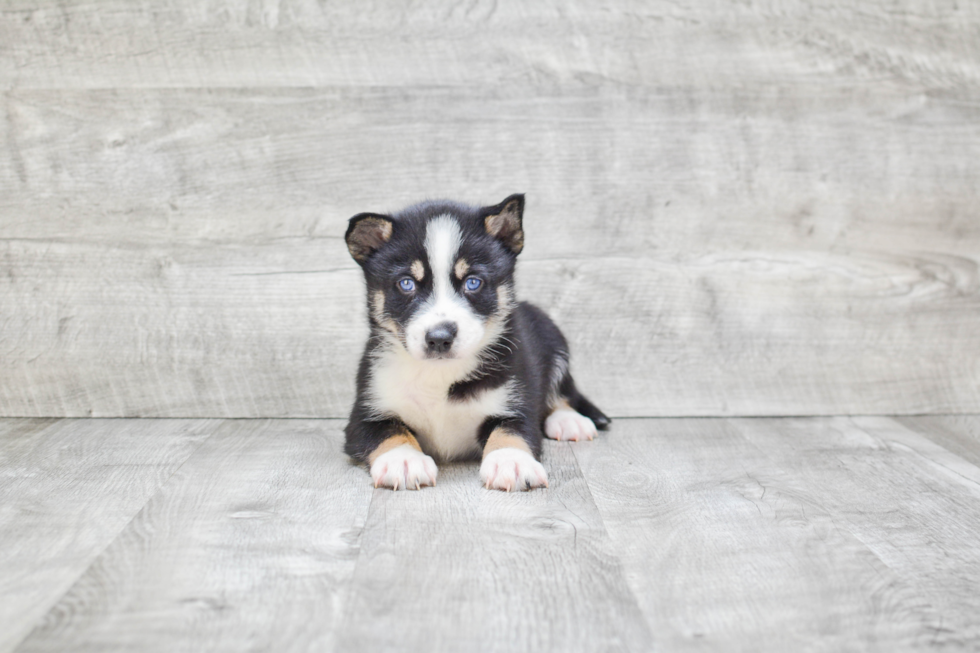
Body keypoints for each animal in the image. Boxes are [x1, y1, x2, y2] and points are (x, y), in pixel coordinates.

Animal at [340, 194, 608, 488]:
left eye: (473, 282)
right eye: (406, 283)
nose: (439, 338)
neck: (440, 375)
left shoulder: (516, 401)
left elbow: (510, 430)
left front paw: (511, 462)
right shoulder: (364, 413)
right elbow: (388, 431)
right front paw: (404, 460)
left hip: (553, 338)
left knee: (562, 392)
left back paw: (570, 421)